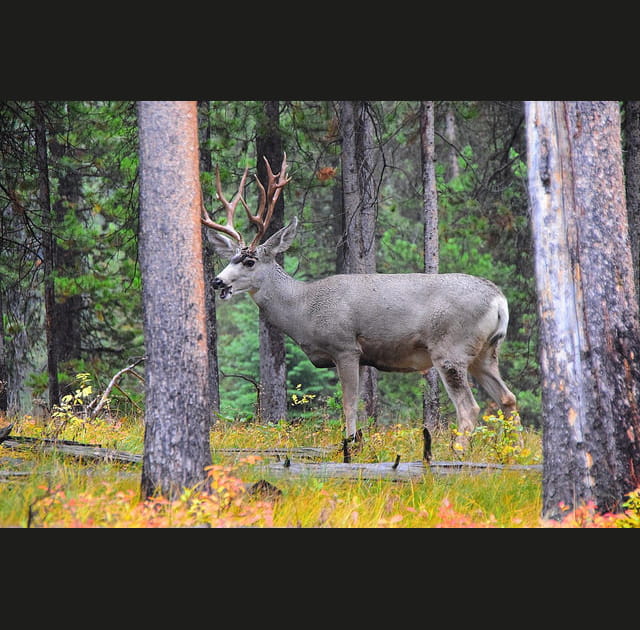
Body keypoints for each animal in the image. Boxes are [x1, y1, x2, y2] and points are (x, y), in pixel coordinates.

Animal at [202, 155, 516, 464]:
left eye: (249, 261)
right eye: (230, 258)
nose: (217, 281)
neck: (305, 308)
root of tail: (499, 299)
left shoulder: (345, 346)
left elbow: (349, 402)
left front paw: (350, 446)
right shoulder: (362, 357)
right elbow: (361, 404)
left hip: (450, 348)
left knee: (470, 408)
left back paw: (457, 455)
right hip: (485, 352)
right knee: (507, 398)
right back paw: (512, 453)